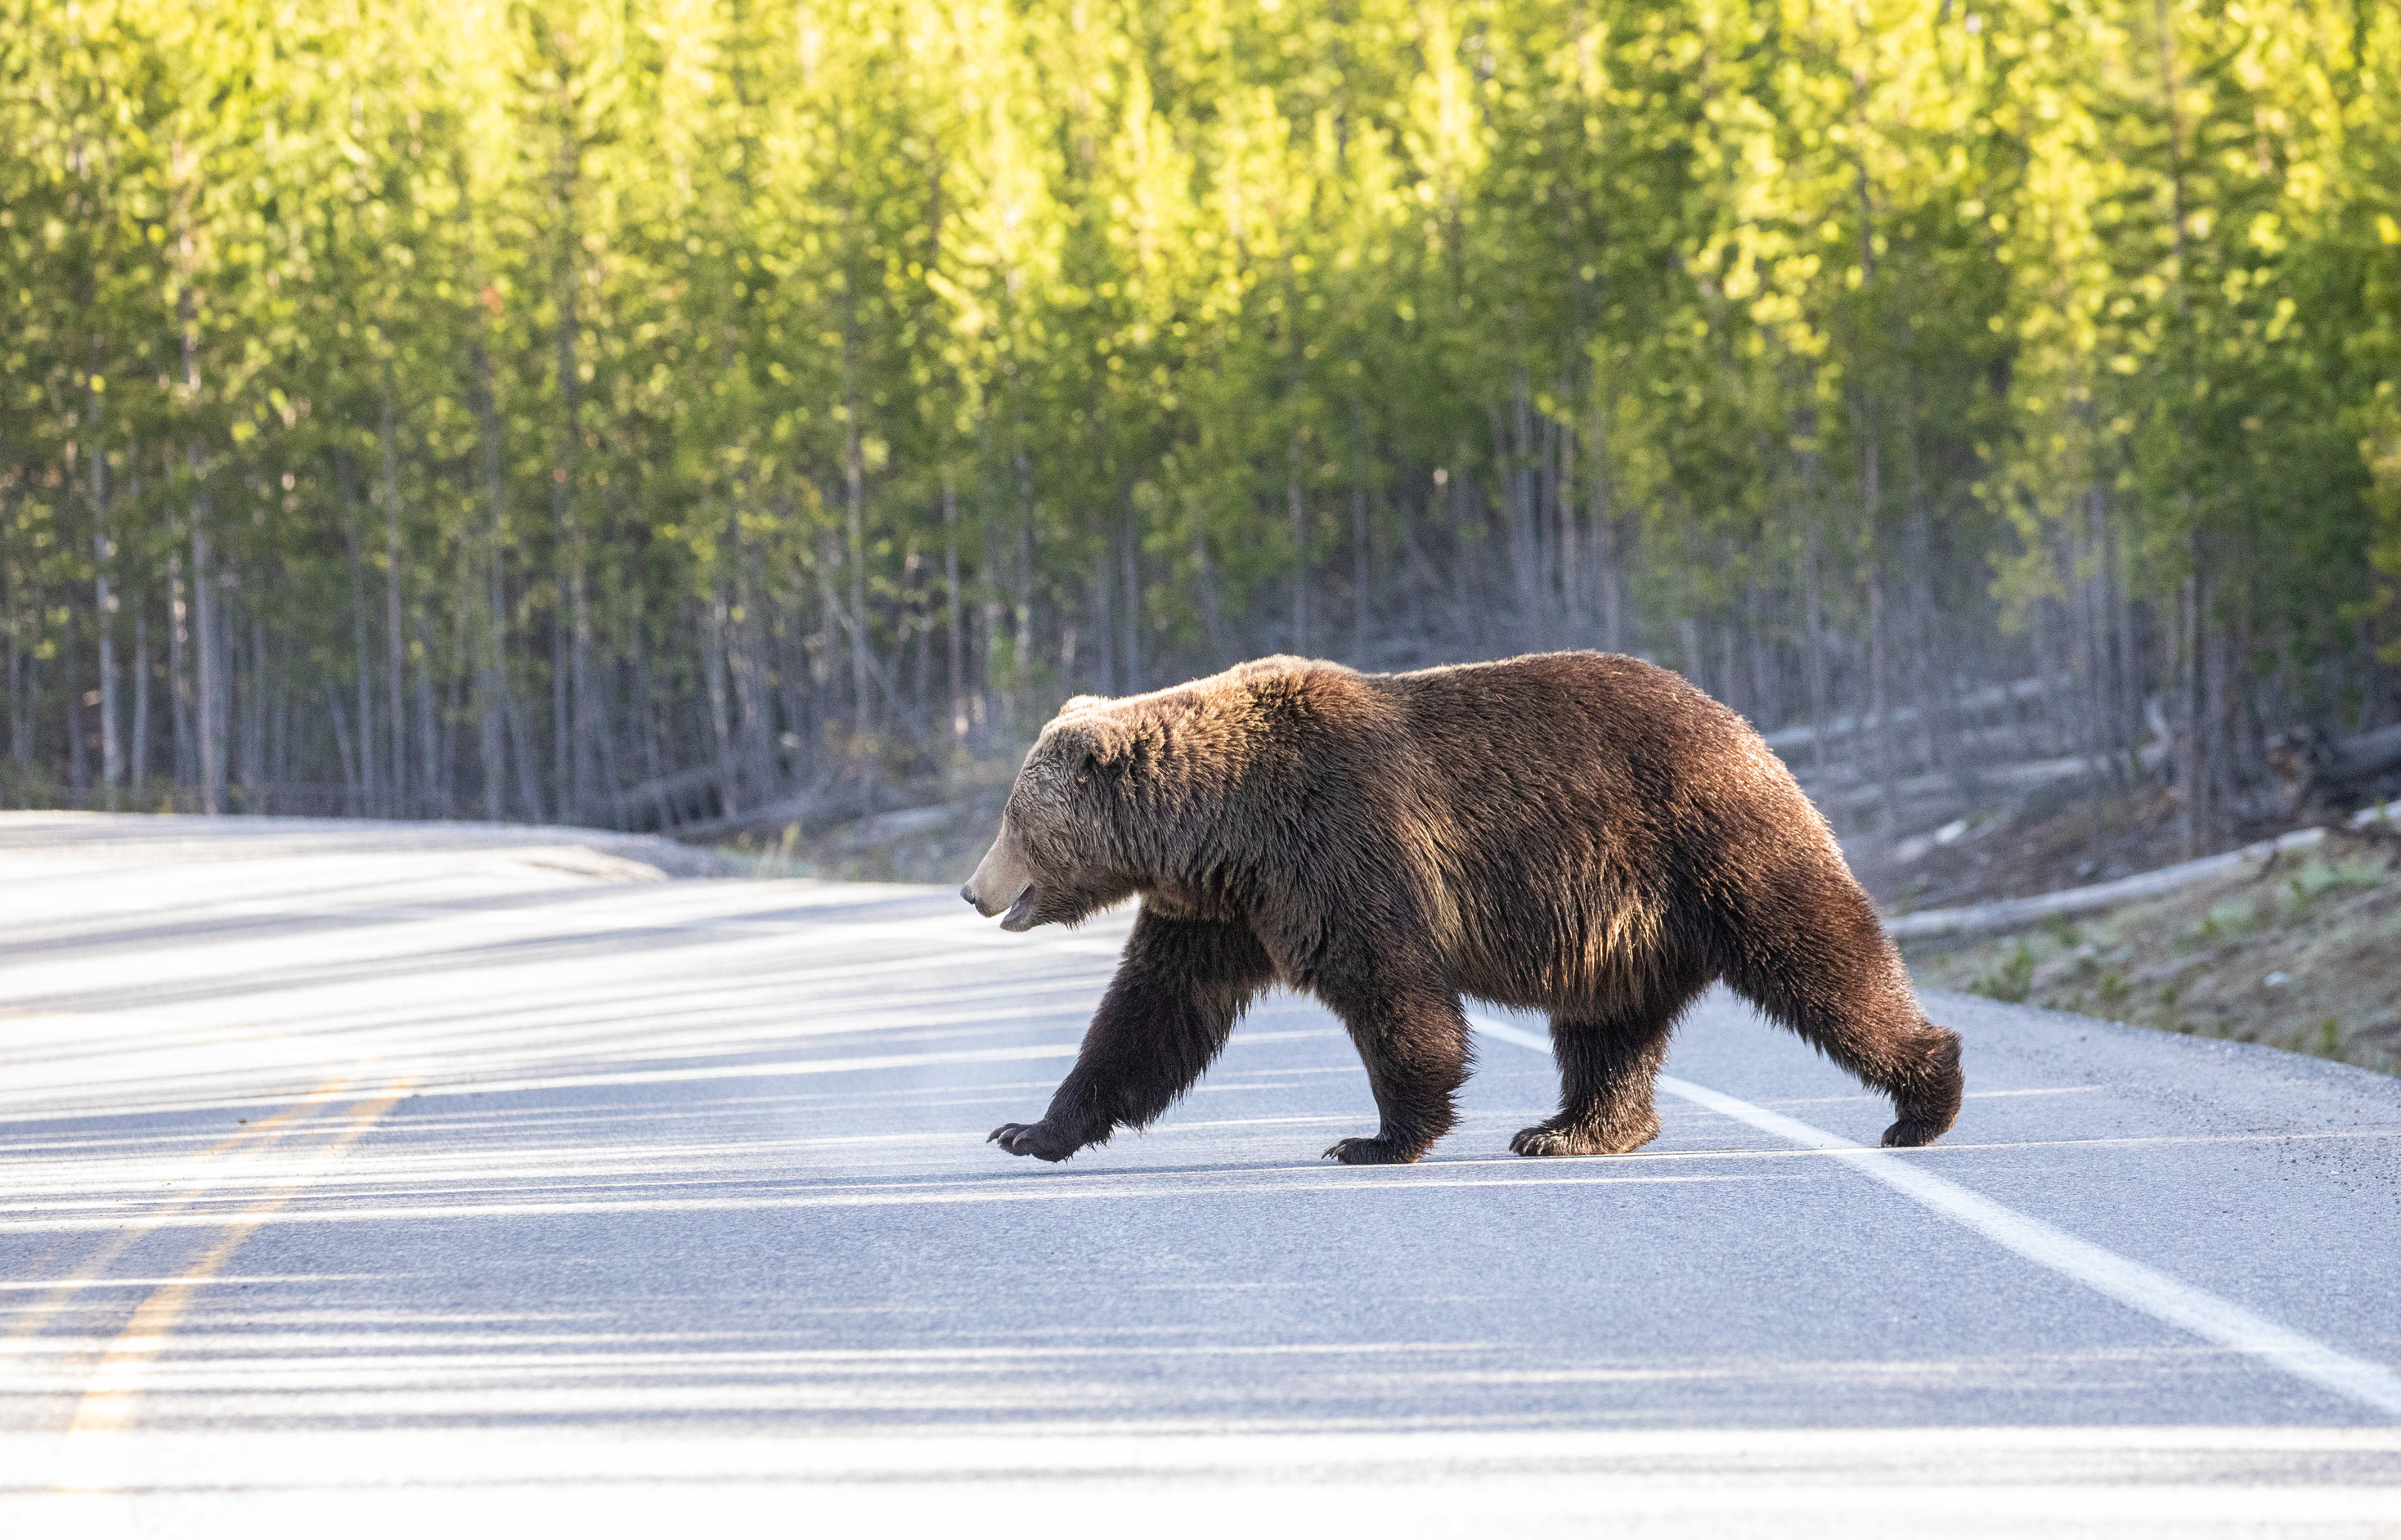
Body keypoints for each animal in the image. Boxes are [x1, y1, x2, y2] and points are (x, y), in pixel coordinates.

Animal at [965, 649, 1959, 1162]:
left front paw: (1376, 1137)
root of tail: (1745, 725)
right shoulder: (1220, 909)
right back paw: (1574, 1128)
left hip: (1708, 838)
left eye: (1014, 815)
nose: (975, 889)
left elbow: (1392, 991)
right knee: (1607, 1025)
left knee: (1814, 955)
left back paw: (1925, 1095)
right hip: (1621, 923)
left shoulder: (1337, 845)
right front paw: (1029, 1127)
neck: (1219, 827)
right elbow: (1149, 1015)